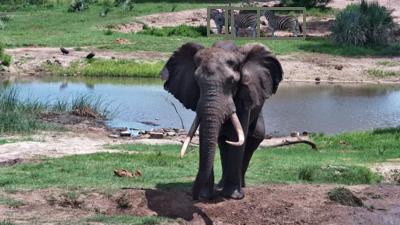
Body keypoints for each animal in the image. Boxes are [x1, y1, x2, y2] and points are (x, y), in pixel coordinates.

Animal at [159, 40, 282, 200]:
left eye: (232, 81)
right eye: (197, 82)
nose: (194, 196)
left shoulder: (244, 94)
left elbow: (237, 137)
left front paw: (234, 197)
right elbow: (206, 134)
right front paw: (205, 196)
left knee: (252, 139)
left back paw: (240, 187)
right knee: (224, 143)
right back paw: (220, 186)